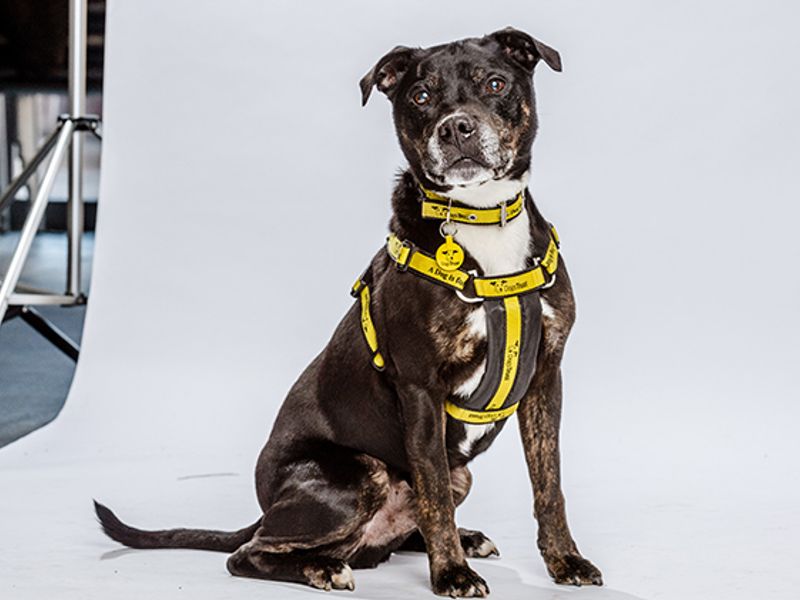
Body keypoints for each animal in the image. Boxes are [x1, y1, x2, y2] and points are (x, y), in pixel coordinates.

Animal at [94, 27, 604, 596]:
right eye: (420, 96)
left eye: (494, 83)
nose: (456, 127)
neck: (482, 221)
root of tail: (267, 509)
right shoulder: (421, 389)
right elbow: (434, 496)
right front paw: (451, 574)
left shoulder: (546, 378)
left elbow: (548, 486)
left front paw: (565, 561)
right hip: (358, 475)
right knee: (250, 554)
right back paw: (323, 567)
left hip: (456, 474)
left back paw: (458, 539)